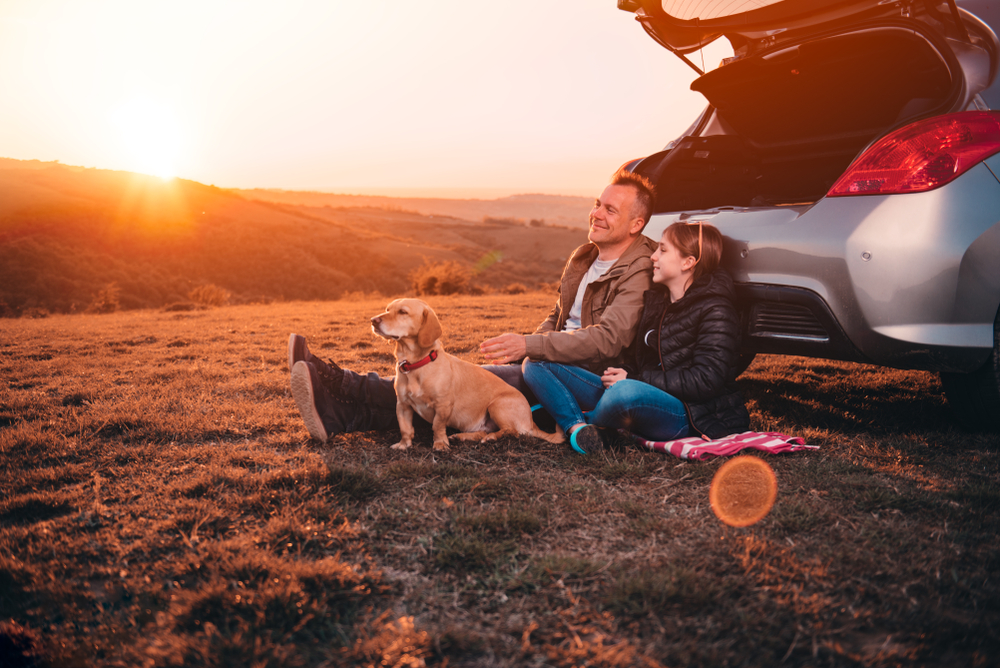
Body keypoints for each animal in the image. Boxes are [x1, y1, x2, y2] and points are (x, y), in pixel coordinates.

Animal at [374, 298, 568, 452]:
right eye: (387, 309)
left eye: (403, 312)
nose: (373, 320)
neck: (416, 364)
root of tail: (531, 422)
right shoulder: (403, 405)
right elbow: (405, 428)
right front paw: (403, 445)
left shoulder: (443, 405)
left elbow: (437, 426)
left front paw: (440, 444)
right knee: (483, 432)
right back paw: (463, 436)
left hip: (497, 405)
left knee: (510, 431)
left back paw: (491, 438)